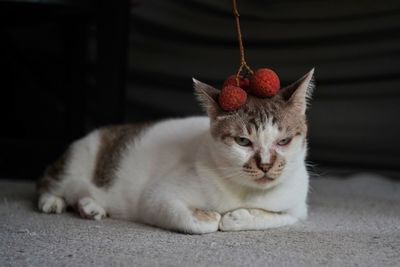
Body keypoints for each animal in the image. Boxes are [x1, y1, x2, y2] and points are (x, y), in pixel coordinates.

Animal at [36, 69, 314, 234]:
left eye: (284, 140)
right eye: (243, 142)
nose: (265, 164)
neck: (246, 191)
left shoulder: (298, 208)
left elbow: (277, 216)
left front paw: (237, 217)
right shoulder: (157, 197)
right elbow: (194, 220)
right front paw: (211, 217)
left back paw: (89, 206)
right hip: (80, 158)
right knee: (51, 180)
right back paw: (52, 201)